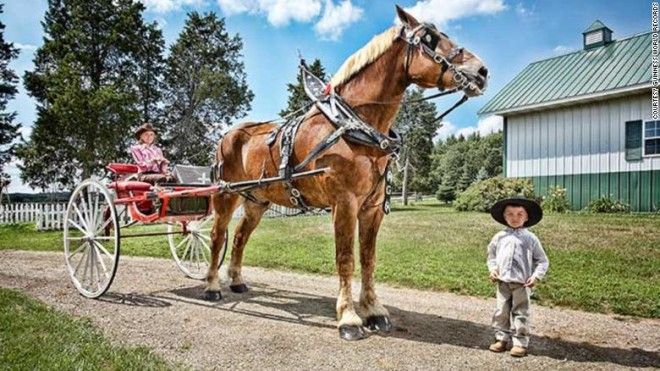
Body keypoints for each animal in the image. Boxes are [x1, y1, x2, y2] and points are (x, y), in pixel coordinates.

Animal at [206, 5, 490, 342]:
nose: (482, 71)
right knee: (217, 235)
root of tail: (228, 134)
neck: (354, 125)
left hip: (257, 200)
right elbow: (346, 258)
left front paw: (373, 310)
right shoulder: (344, 202)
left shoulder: (372, 208)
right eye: (430, 39)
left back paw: (236, 280)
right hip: (226, 195)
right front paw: (349, 317)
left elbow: (368, 259)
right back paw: (212, 286)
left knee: (239, 237)